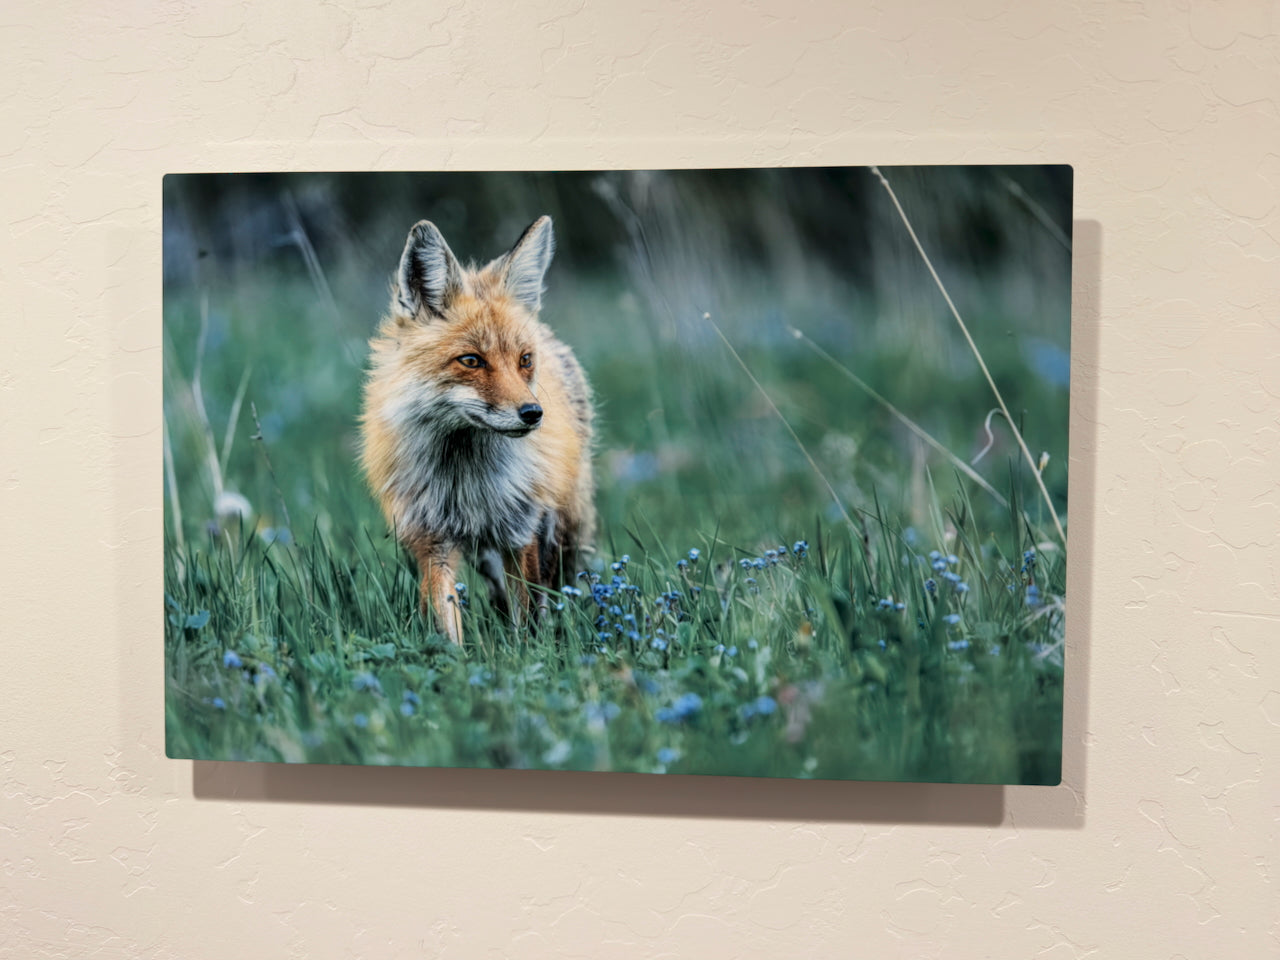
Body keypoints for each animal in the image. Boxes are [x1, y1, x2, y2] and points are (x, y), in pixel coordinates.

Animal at [359, 215, 595, 645]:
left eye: (524, 360)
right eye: (471, 360)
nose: (533, 414)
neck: (467, 479)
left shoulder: (523, 528)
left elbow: (528, 615)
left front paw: (529, 654)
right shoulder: (431, 539)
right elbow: (444, 620)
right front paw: (455, 661)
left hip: (562, 525)